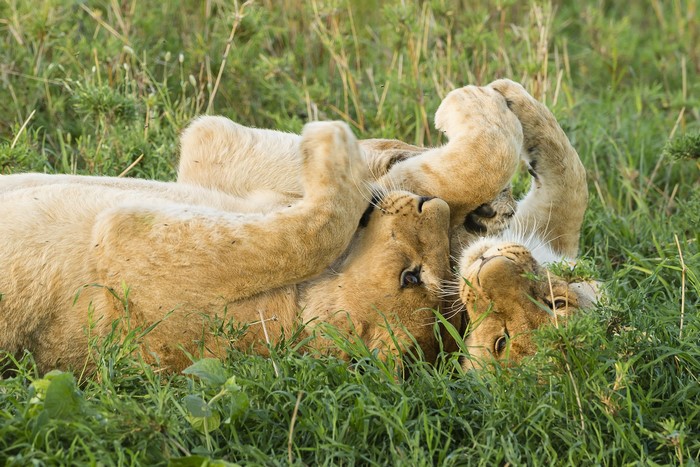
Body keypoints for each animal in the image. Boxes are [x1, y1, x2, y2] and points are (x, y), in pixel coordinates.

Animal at [0, 122, 458, 374]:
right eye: (412, 277)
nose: (434, 205)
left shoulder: (123, 240)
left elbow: (307, 238)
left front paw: (332, 144)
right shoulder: (217, 175)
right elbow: (211, 134)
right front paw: (395, 153)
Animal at [176, 79, 600, 369]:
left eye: (501, 342)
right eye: (556, 301)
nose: (491, 266)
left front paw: (463, 104)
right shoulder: (547, 228)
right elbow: (571, 178)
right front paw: (510, 97)